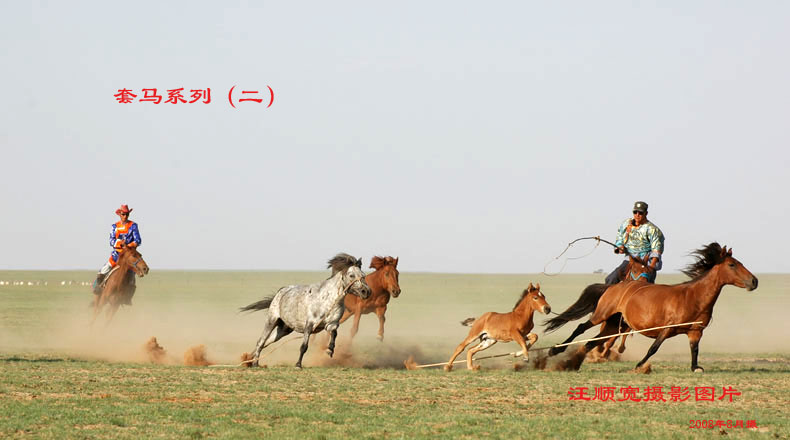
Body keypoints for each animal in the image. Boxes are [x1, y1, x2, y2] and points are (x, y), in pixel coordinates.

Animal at [240, 253, 371, 368]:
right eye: (351, 275)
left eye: (363, 275)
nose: (366, 291)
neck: (327, 300)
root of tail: (280, 292)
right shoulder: (309, 325)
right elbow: (304, 346)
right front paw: (298, 365)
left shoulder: (331, 324)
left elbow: (334, 333)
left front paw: (330, 350)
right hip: (272, 321)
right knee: (261, 342)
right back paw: (255, 363)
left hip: (283, 329)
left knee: (266, 342)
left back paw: (248, 360)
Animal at [545, 243, 757, 372]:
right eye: (732, 265)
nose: (754, 281)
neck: (693, 297)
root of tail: (613, 286)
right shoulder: (666, 328)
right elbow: (654, 348)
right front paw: (639, 365)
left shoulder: (695, 332)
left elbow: (694, 350)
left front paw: (695, 367)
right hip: (601, 314)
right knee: (581, 328)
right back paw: (554, 350)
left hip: (613, 324)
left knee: (593, 342)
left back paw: (571, 362)